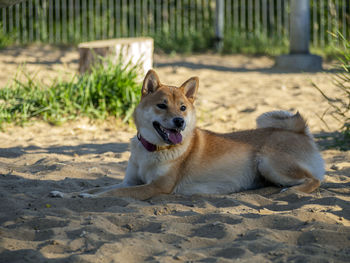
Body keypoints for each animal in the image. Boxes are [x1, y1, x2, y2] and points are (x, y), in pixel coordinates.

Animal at [50, 70, 326, 200]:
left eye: (182, 107)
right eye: (162, 105)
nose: (180, 121)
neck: (153, 151)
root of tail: (300, 130)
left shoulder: (155, 187)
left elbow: (111, 194)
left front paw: (86, 196)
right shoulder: (130, 181)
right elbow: (101, 187)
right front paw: (67, 194)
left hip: (269, 163)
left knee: (315, 180)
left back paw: (291, 192)